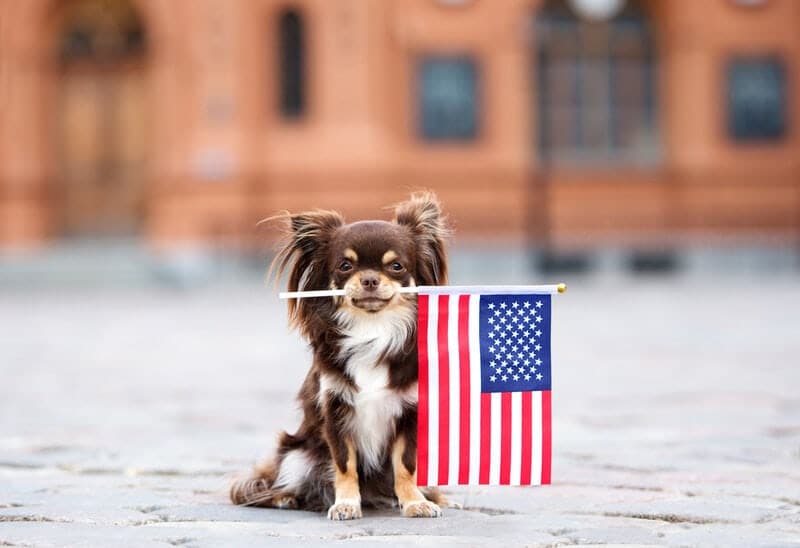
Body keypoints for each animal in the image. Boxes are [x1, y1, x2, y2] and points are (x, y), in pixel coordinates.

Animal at [233, 192, 450, 520]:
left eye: (396, 266)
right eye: (345, 266)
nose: (370, 279)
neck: (373, 329)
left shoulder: (409, 414)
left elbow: (405, 466)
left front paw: (415, 502)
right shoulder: (335, 411)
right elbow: (345, 465)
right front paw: (346, 504)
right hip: (297, 454)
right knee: (282, 482)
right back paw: (287, 498)